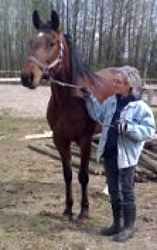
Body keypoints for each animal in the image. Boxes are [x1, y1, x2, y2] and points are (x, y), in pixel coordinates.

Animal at [20, 9, 114, 221]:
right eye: (31, 42)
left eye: (52, 43)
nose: (27, 77)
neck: (70, 98)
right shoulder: (60, 139)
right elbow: (68, 174)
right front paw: (68, 209)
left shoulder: (84, 140)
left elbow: (83, 175)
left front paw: (84, 210)